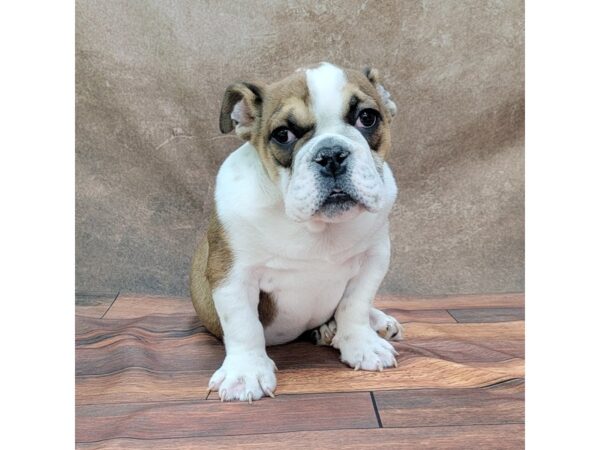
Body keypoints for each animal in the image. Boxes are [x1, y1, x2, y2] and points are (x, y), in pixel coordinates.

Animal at [190, 61, 400, 402]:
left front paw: (362, 343)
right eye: (283, 134)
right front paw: (246, 372)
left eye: (367, 117)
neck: (316, 227)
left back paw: (374, 321)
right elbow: (243, 325)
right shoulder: (231, 274)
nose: (331, 154)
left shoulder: (374, 258)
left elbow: (355, 305)